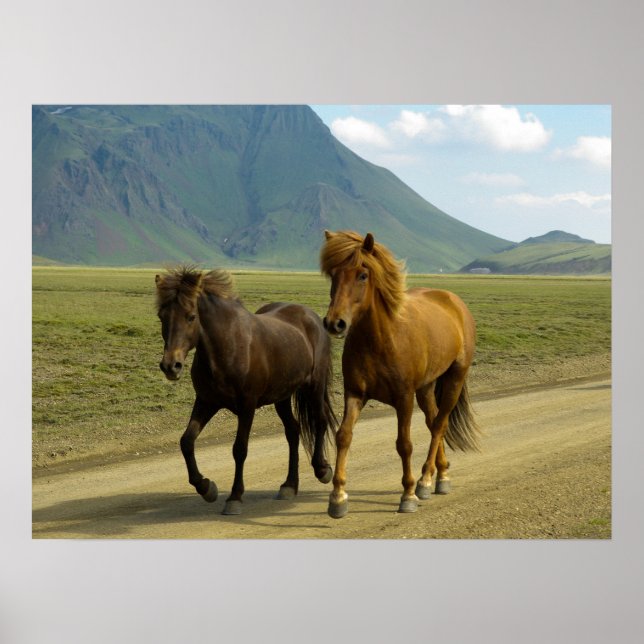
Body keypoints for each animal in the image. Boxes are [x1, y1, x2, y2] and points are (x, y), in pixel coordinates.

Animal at [155, 266, 337, 515]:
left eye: (191, 316)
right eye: (161, 316)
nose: (171, 366)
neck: (227, 347)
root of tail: (311, 316)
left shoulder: (247, 406)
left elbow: (239, 449)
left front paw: (234, 497)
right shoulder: (206, 401)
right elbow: (187, 441)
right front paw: (206, 487)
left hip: (314, 386)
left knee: (319, 421)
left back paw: (322, 470)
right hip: (282, 396)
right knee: (293, 431)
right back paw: (289, 485)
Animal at [320, 230, 481, 518]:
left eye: (362, 275)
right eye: (333, 274)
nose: (334, 323)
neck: (380, 340)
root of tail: (454, 301)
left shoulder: (403, 398)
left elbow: (404, 444)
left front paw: (408, 494)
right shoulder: (355, 393)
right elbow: (343, 436)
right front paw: (338, 496)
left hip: (454, 378)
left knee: (440, 424)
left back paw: (426, 480)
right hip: (426, 387)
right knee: (433, 421)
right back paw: (441, 475)